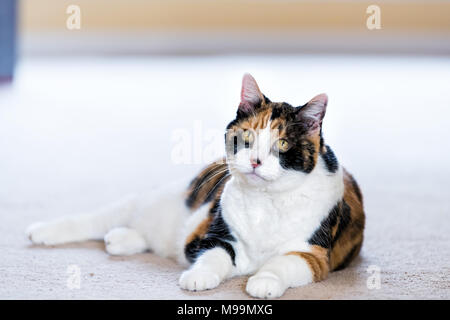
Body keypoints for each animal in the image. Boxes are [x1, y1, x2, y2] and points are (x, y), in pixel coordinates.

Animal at [26, 74, 364, 298]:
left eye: (282, 143)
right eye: (247, 136)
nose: (255, 161)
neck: (266, 202)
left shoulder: (314, 255)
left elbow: (283, 263)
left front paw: (263, 282)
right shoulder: (215, 235)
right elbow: (214, 256)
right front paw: (198, 277)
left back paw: (120, 239)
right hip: (153, 203)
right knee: (94, 219)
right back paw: (42, 232)